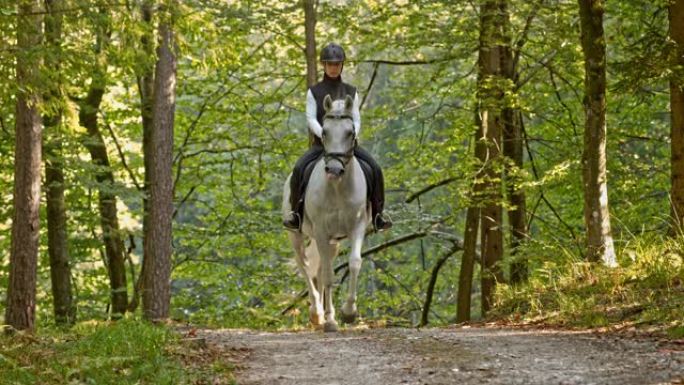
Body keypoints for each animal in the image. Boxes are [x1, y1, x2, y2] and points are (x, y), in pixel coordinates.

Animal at [282, 94, 372, 332]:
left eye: (350, 132)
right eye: (324, 132)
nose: (334, 170)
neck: (338, 189)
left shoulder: (357, 227)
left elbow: (354, 262)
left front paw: (349, 312)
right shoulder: (321, 231)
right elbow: (329, 276)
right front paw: (331, 320)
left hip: (332, 241)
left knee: (320, 267)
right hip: (297, 234)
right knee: (304, 264)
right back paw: (317, 313)